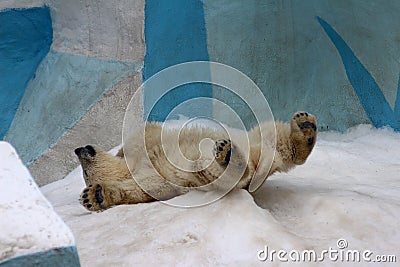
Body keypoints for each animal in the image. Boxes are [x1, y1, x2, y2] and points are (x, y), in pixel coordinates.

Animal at [75, 111, 318, 211]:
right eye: (86, 175)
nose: (78, 149)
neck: (132, 166)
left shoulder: (142, 146)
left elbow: (145, 131)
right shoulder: (150, 178)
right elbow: (143, 188)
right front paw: (96, 196)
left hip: (255, 137)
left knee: (274, 134)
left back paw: (304, 126)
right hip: (211, 174)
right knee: (210, 169)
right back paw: (228, 156)